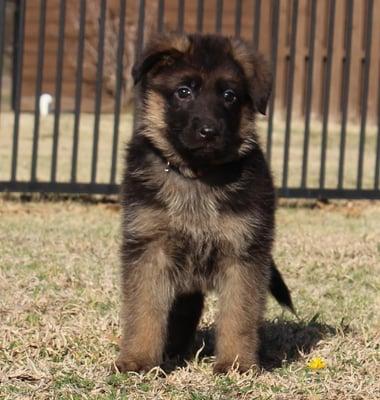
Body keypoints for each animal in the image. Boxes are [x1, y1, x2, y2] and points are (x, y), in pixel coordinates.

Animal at [116, 32, 294, 374]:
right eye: (183, 92)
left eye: (229, 95)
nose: (208, 132)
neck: (196, 175)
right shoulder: (150, 250)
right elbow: (144, 311)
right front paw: (138, 359)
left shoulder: (244, 254)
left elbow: (239, 314)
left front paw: (236, 364)